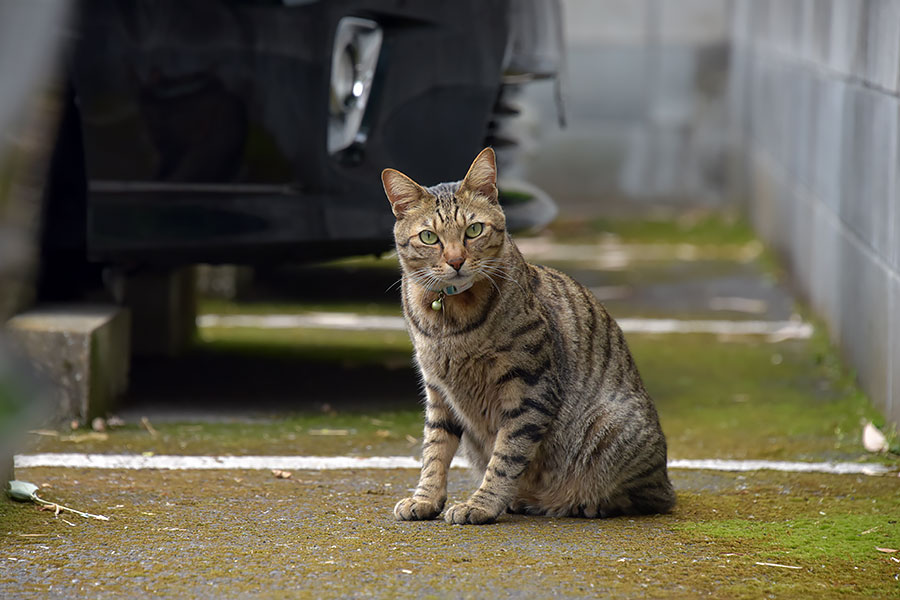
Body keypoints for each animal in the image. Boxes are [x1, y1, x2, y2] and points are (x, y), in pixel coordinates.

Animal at [380, 148, 676, 524]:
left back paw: (580, 503)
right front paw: (426, 498)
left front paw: (482, 504)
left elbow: (507, 455)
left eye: (473, 230)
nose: (456, 261)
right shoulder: (437, 390)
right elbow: (434, 450)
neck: (450, 318)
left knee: (649, 498)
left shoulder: (530, 387)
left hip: (609, 430)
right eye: (429, 237)